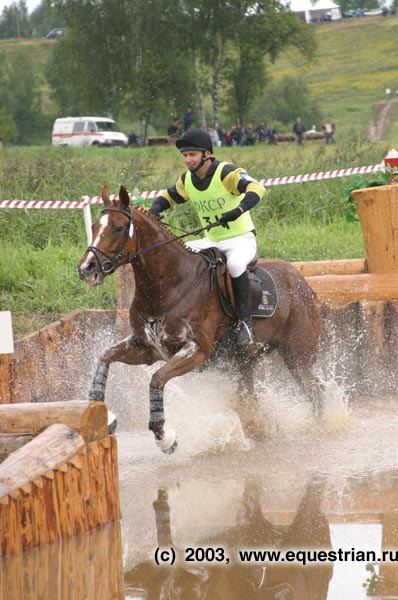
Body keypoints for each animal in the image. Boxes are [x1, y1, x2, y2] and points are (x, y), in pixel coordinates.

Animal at [77, 185, 320, 452]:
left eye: (118, 228)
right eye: (94, 227)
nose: (86, 268)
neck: (168, 286)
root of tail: (302, 281)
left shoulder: (196, 351)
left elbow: (157, 379)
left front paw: (164, 437)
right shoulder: (145, 349)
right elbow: (105, 357)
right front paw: (105, 416)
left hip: (298, 356)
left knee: (314, 391)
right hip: (244, 363)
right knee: (250, 400)